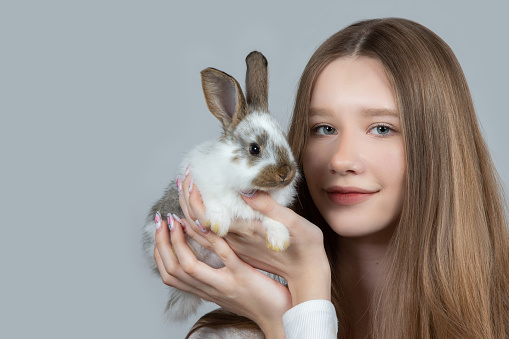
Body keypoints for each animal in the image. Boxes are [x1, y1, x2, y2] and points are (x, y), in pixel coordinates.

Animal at [141, 51, 296, 322]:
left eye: (285, 139)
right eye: (254, 148)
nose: (286, 173)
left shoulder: (274, 210)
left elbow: (275, 219)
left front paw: (279, 242)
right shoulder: (200, 182)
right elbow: (214, 203)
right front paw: (217, 224)